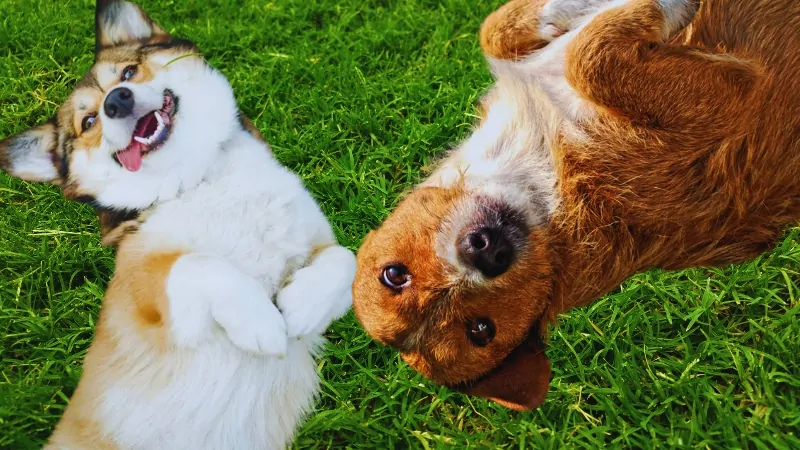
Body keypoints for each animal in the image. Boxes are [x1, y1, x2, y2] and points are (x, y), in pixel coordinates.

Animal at [0, 1, 356, 448]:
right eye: (89, 123)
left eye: (128, 73)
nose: (117, 101)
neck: (202, 176)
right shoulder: (152, 302)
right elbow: (199, 264)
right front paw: (260, 323)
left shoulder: (318, 245)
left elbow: (347, 259)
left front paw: (303, 307)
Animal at [352, 0, 800, 412]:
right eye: (481, 330)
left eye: (393, 274)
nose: (489, 253)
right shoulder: (730, 97)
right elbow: (590, 57)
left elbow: (494, 30)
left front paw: (552, 18)